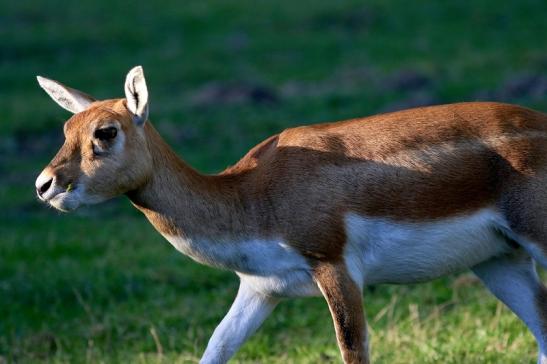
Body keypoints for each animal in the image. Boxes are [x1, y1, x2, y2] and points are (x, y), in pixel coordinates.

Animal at [35, 66, 547, 364]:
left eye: (106, 131)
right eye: (66, 127)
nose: (44, 185)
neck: (250, 195)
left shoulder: (335, 266)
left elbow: (352, 349)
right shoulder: (261, 288)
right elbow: (216, 347)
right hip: (499, 260)